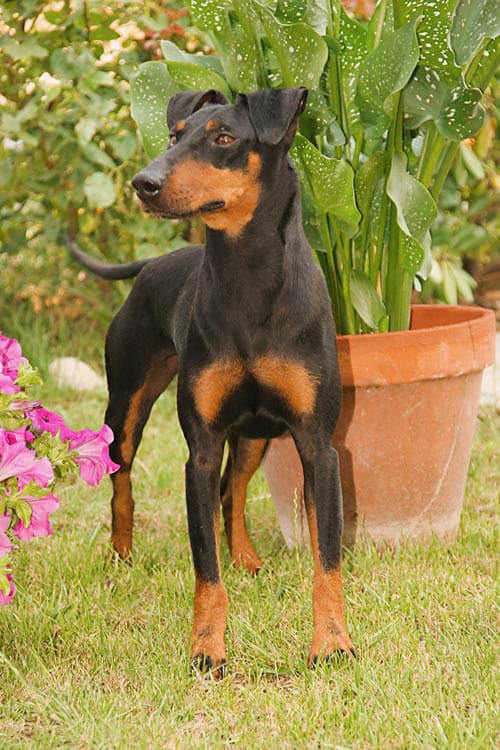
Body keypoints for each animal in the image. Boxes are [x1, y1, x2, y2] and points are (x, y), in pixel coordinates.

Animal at [70, 86, 354, 676]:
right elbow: (206, 569)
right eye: (174, 135)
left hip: (253, 437)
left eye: (224, 138)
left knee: (233, 489)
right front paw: (207, 647)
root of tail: (152, 264)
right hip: (126, 406)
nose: (144, 183)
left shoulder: (318, 445)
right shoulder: (200, 449)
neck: (249, 280)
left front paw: (332, 642)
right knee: (123, 482)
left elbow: (327, 557)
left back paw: (245, 557)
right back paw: (121, 555)